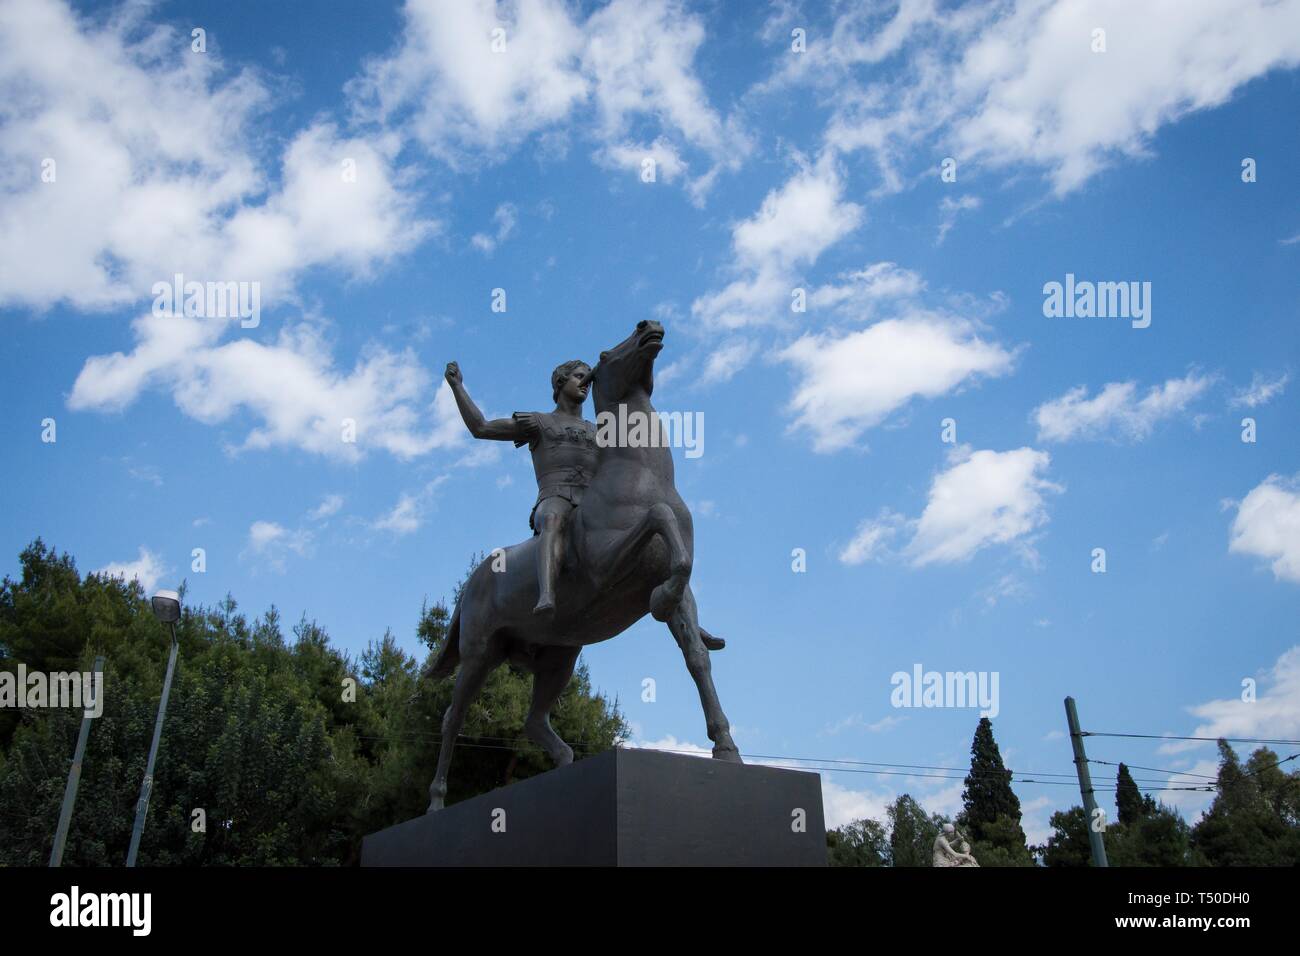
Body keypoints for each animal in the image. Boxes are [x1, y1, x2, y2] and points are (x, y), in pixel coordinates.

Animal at [426, 319, 743, 806]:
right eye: (605, 356)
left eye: (586, 372)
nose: (649, 326)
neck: (641, 477)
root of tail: (473, 583)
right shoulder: (606, 568)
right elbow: (659, 516)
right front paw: (658, 601)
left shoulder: (681, 587)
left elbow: (696, 655)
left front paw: (725, 746)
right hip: (480, 655)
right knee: (452, 718)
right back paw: (437, 801)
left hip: (559, 657)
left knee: (534, 720)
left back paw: (566, 767)